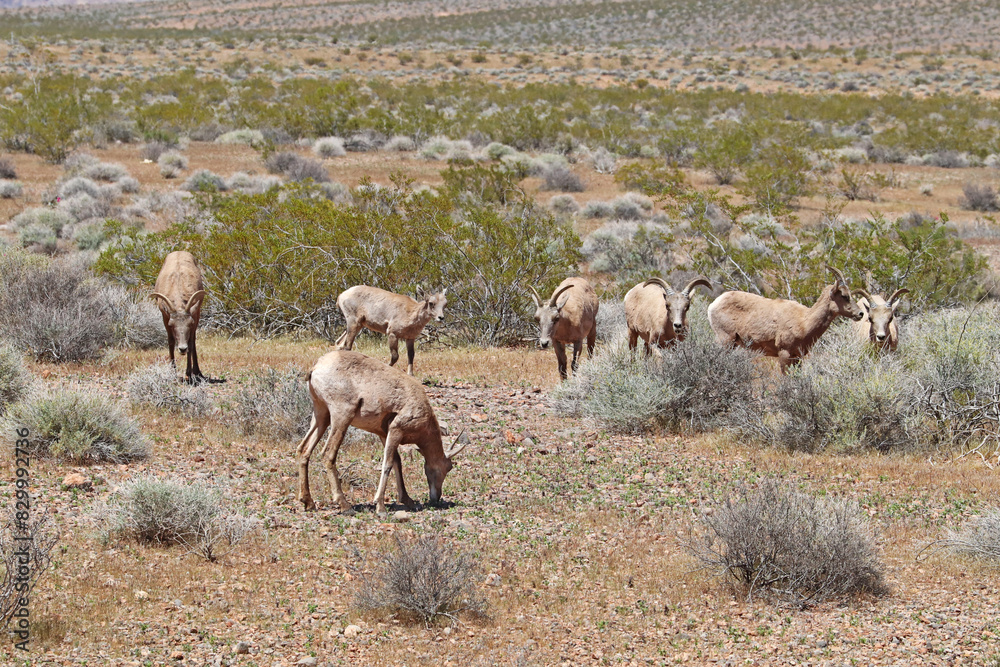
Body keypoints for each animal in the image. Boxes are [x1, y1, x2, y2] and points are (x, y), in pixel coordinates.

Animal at [150, 251, 206, 383]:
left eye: (190, 324)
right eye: (172, 325)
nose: (182, 349)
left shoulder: (195, 315)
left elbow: (191, 343)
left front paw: (189, 373)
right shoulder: (165, 316)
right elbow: (170, 342)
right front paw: (172, 371)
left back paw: (197, 372)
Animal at [295, 350, 465, 514]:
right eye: (449, 467)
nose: (436, 498)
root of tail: (316, 368)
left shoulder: (384, 434)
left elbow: (397, 461)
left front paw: (407, 500)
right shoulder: (396, 430)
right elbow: (387, 464)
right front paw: (381, 507)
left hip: (321, 416)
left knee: (304, 449)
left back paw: (308, 502)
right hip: (341, 417)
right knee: (328, 454)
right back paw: (345, 506)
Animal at [707, 266, 864, 373]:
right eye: (844, 295)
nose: (860, 314)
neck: (804, 322)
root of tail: (713, 305)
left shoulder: (797, 357)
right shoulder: (784, 354)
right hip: (725, 340)